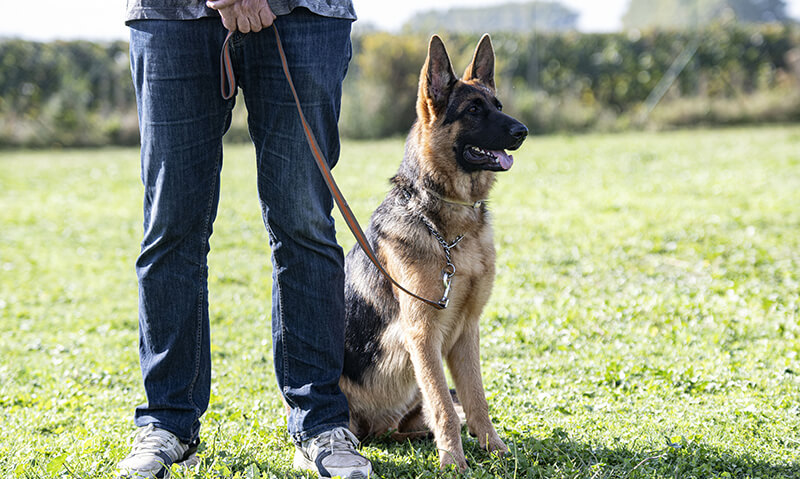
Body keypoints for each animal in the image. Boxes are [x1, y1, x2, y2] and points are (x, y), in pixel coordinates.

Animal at [340, 34, 528, 472]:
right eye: (473, 110)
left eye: (498, 105)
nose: (523, 131)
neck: (449, 229)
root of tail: (376, 428)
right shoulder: (423, 335)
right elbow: (443, 403)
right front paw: (454, 462)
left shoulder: (467, 330)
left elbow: (475, 399)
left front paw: (494, 449)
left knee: (414, 422)